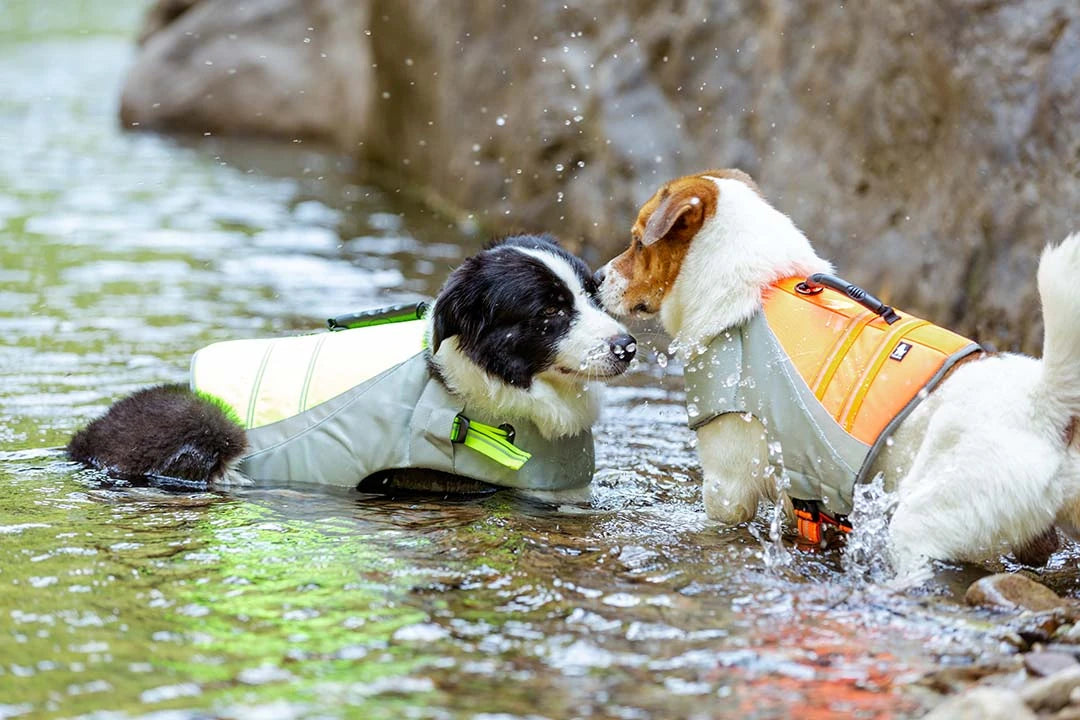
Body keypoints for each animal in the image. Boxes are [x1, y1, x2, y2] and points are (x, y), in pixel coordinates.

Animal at [596, 169, 1080, 578]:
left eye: (638, 242)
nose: (596, 278)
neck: (760, 289)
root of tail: (1042, 405)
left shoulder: (728, 482)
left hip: (923, 520)